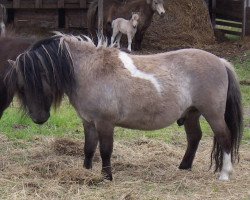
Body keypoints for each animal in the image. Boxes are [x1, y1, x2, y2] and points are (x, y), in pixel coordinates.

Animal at [8, 34, 243, 181]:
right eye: (21, 87)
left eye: (40, 79)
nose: (38, 118)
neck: (91, 71)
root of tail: (221, 61)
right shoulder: (88, 122)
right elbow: (88, 148)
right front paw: (86, 171)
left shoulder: (105, 123)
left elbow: (105, 150)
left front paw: (106, 177)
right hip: (192, 113)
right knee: (194, 137)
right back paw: (184, 167)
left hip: (213, 114)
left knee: (224, 137)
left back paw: (224, 174)